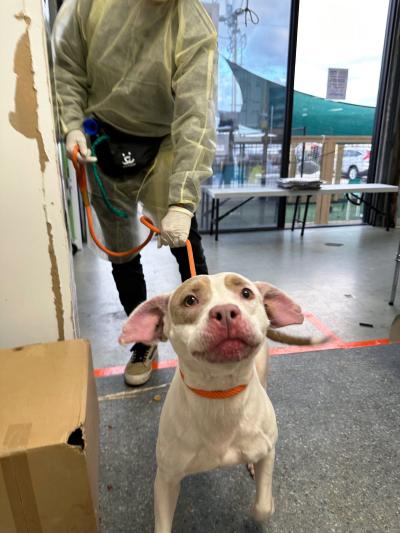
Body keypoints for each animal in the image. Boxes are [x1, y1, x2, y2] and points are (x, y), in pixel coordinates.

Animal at [119, 272, 316, 528]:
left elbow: (263, 507)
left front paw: (261, 507)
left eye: (246, 293)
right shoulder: (166, 479)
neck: (221, 392)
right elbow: (162, 523)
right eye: (190, 300)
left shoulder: (268, 451)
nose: (225, 312)